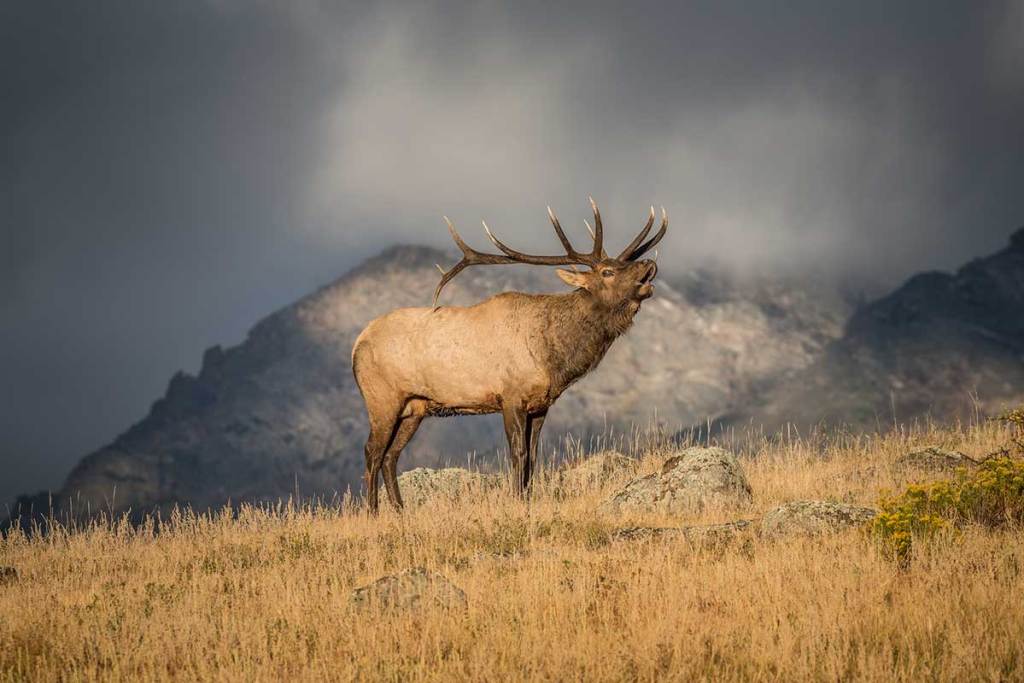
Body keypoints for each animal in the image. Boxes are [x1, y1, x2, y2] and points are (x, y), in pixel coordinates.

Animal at [352, 200, 667, 509]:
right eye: (607, 272)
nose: (648, 263)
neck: (552, 358)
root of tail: (357, 344)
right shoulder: (511, 396)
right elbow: (518, 454)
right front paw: (516, 502)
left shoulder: (540, 405)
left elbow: (533, 457)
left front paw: (527, 501)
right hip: (381, 399)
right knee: (372, 452)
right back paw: (373, 513)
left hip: (414, 407)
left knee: (391, 456)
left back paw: (400, 511)